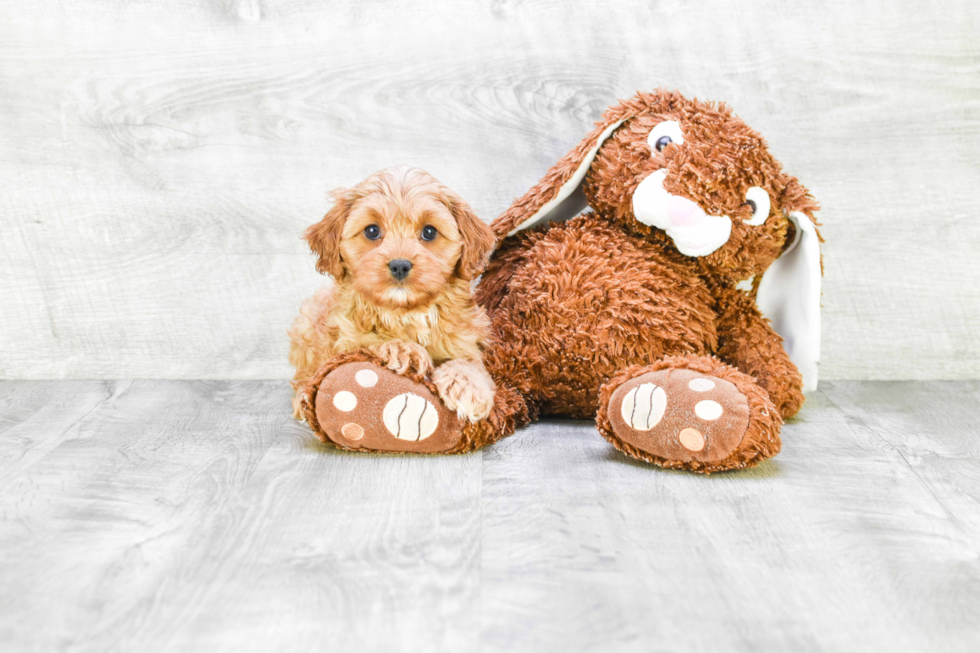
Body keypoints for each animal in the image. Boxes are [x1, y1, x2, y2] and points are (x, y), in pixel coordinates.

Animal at [288, 164, 494, 422]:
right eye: (372, 231)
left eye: (429, 232)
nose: (400, 265)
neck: (406, 312)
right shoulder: (346, 340)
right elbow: (369, 341)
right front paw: (404, 350)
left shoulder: (466, 339)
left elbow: (469, 361)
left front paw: (468, 386)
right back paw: (303, 398)